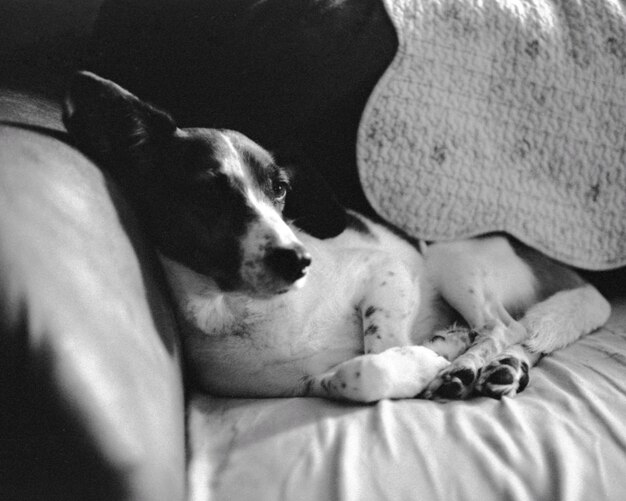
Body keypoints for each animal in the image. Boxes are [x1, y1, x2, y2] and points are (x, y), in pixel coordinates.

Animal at [59, 71, 608, 402]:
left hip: (454, 258)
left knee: (503, 327)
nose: (298, 260)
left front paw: (431, 353)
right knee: (525, 336)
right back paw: (499, 368)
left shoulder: (386, 269)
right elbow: (354, 374)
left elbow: (377, 348)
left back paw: (467, 364)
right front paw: (426, 355)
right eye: (207, 194)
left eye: (280, 189)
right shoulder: (297, 385)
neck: (243, 310)